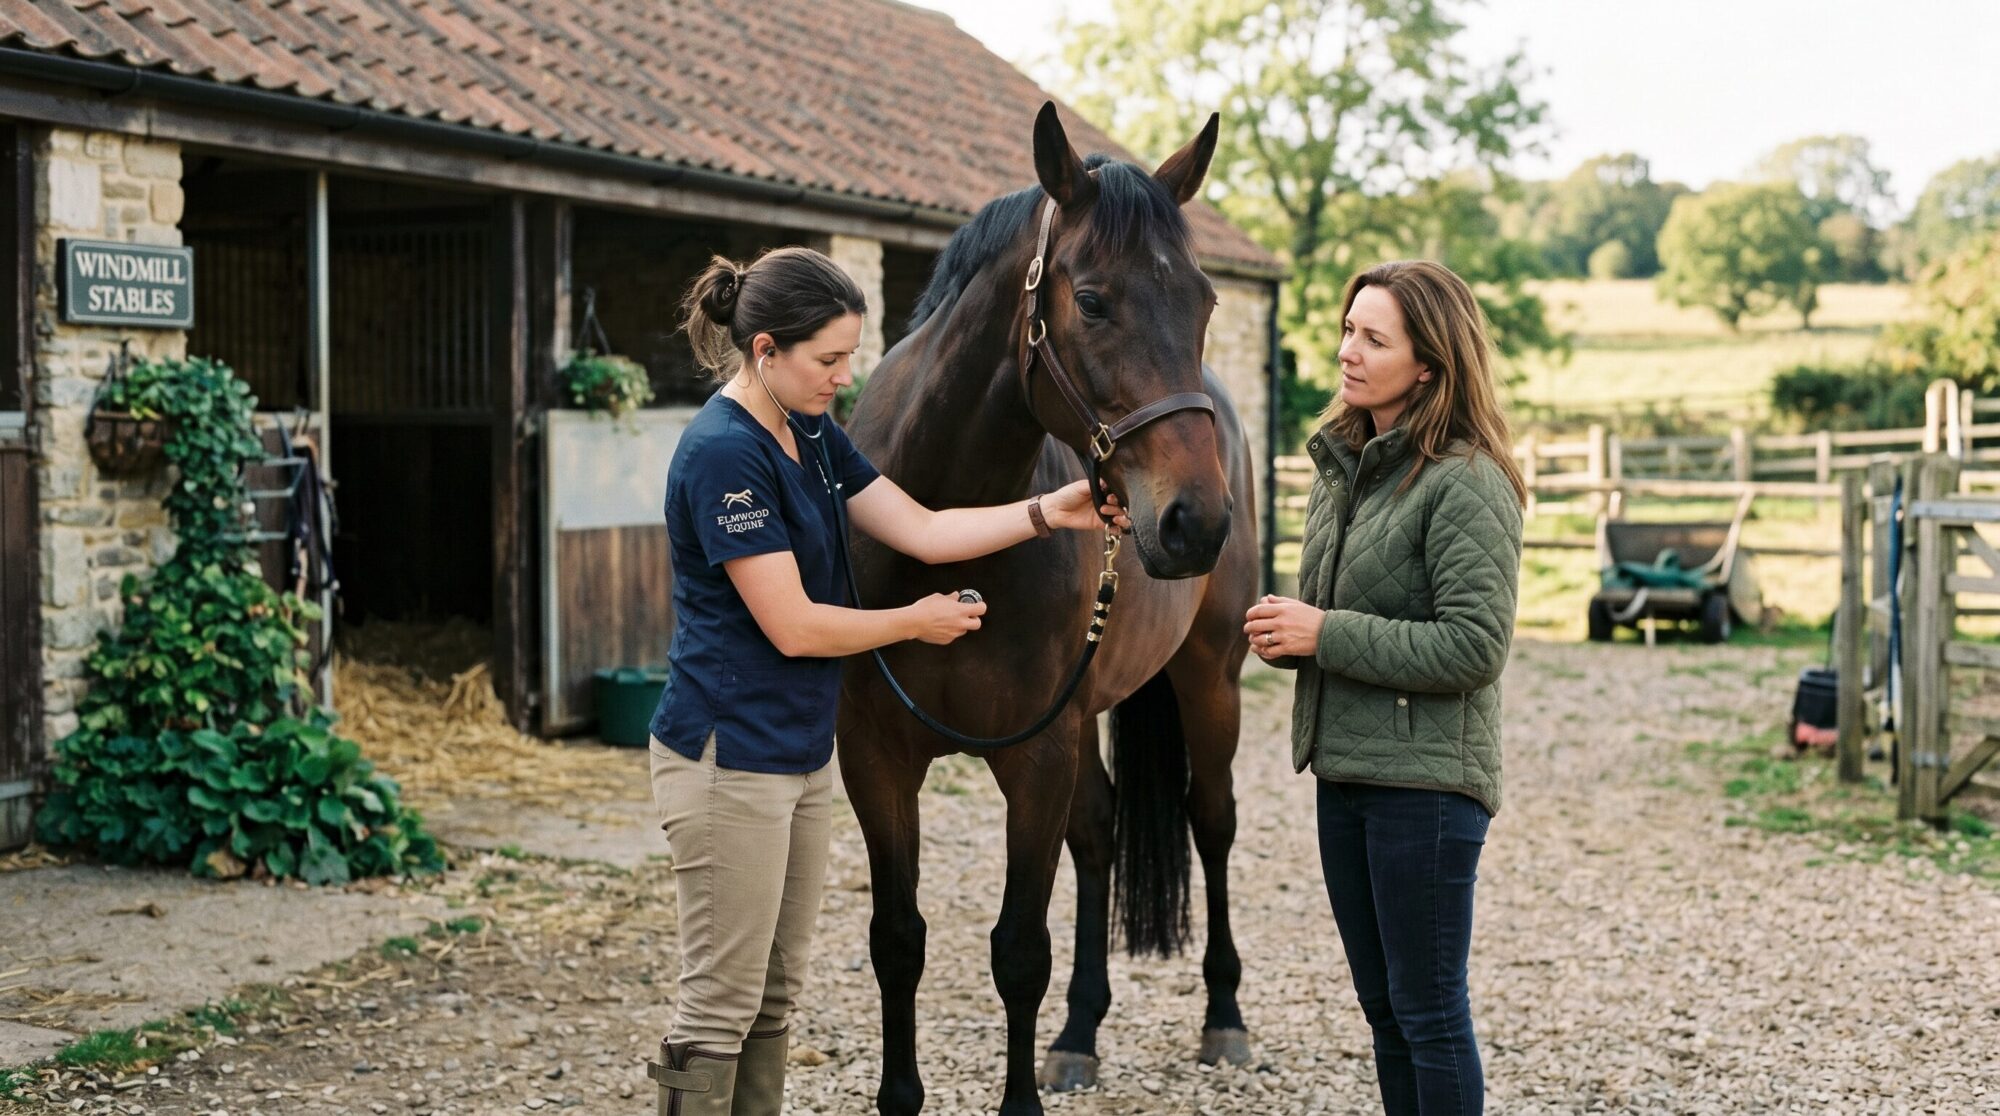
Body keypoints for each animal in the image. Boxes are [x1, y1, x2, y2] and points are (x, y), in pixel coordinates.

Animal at [835, 102, 1258, 1116]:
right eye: (1093, 302)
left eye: (1205, 304)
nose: (1194, 523)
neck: (944, 530)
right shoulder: (875, 757)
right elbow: (897, 941)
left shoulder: (1033, 757)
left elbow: (1019, 951)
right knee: (1099, 834)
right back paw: (1078, 1034)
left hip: (1208, 680)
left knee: (1212, 820)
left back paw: (1224, 1018)